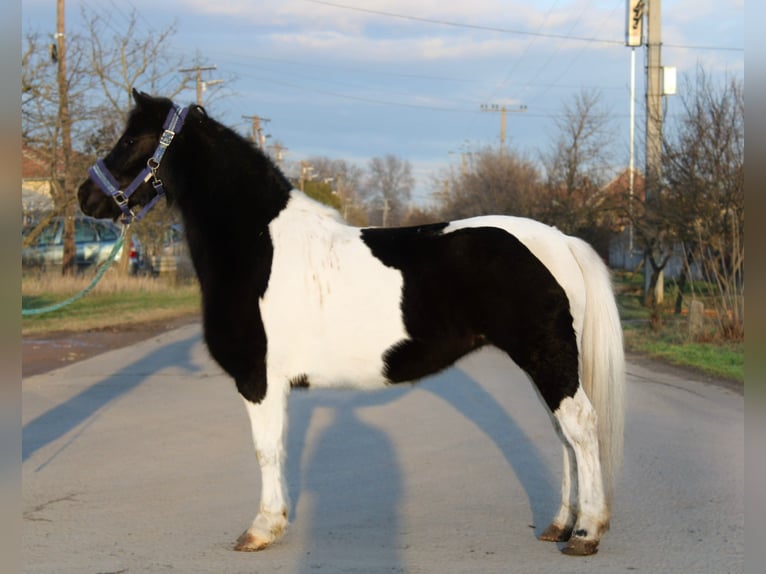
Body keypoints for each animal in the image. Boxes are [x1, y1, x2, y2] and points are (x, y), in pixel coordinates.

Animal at [78, 89, 625, 556]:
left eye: (130, 140)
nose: (87, 197)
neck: (257, 243)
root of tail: (560, 240)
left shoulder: (258, 380)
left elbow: (265, 451)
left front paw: (261, 529)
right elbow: (276, 449)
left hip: (547, 356)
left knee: (580, 426)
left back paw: (586, 532)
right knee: (563, 435)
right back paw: (560, 524)